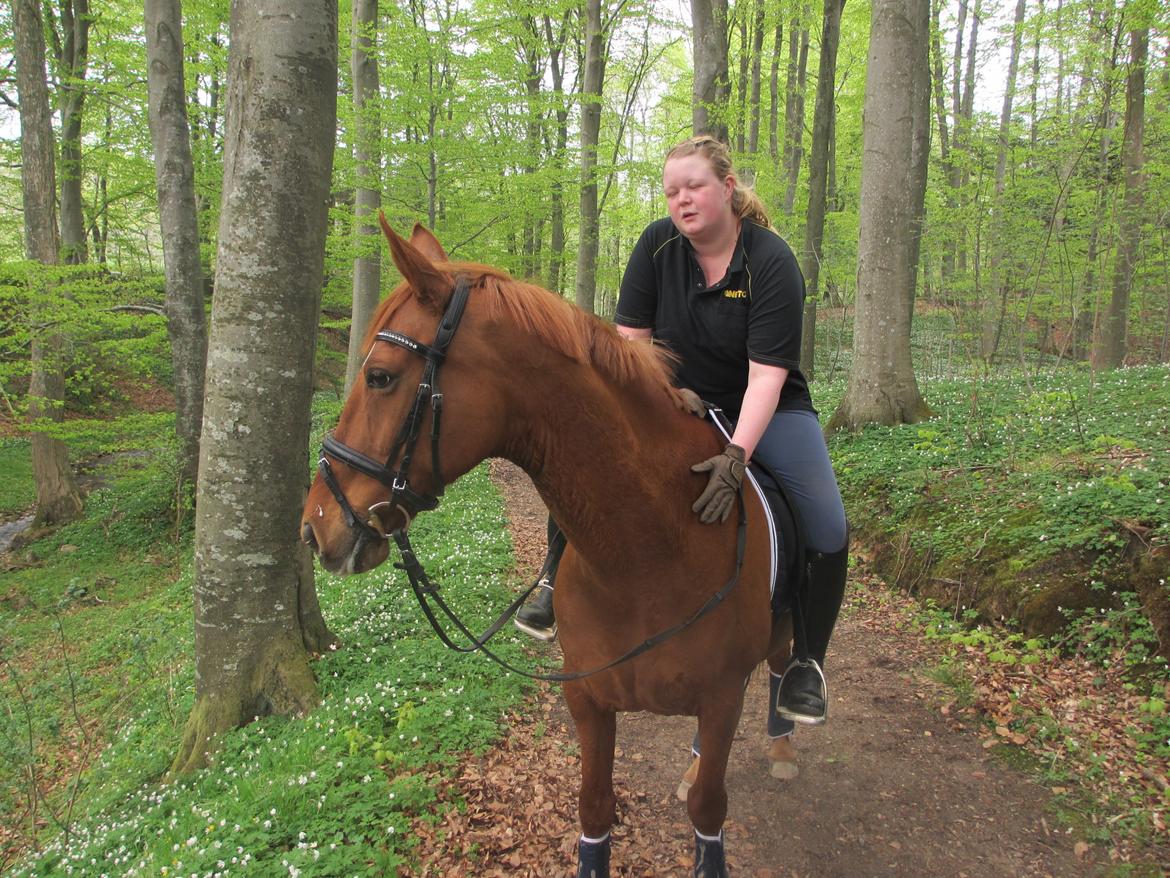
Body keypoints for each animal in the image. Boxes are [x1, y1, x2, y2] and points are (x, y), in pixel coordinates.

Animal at [301, 221, 795, 878]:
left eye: (379, 375)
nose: (314, 526)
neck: (649, 552)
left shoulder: (720, 700)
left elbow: (708, 812)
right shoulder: (587, 700)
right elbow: (594, 810)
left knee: (785, 661)